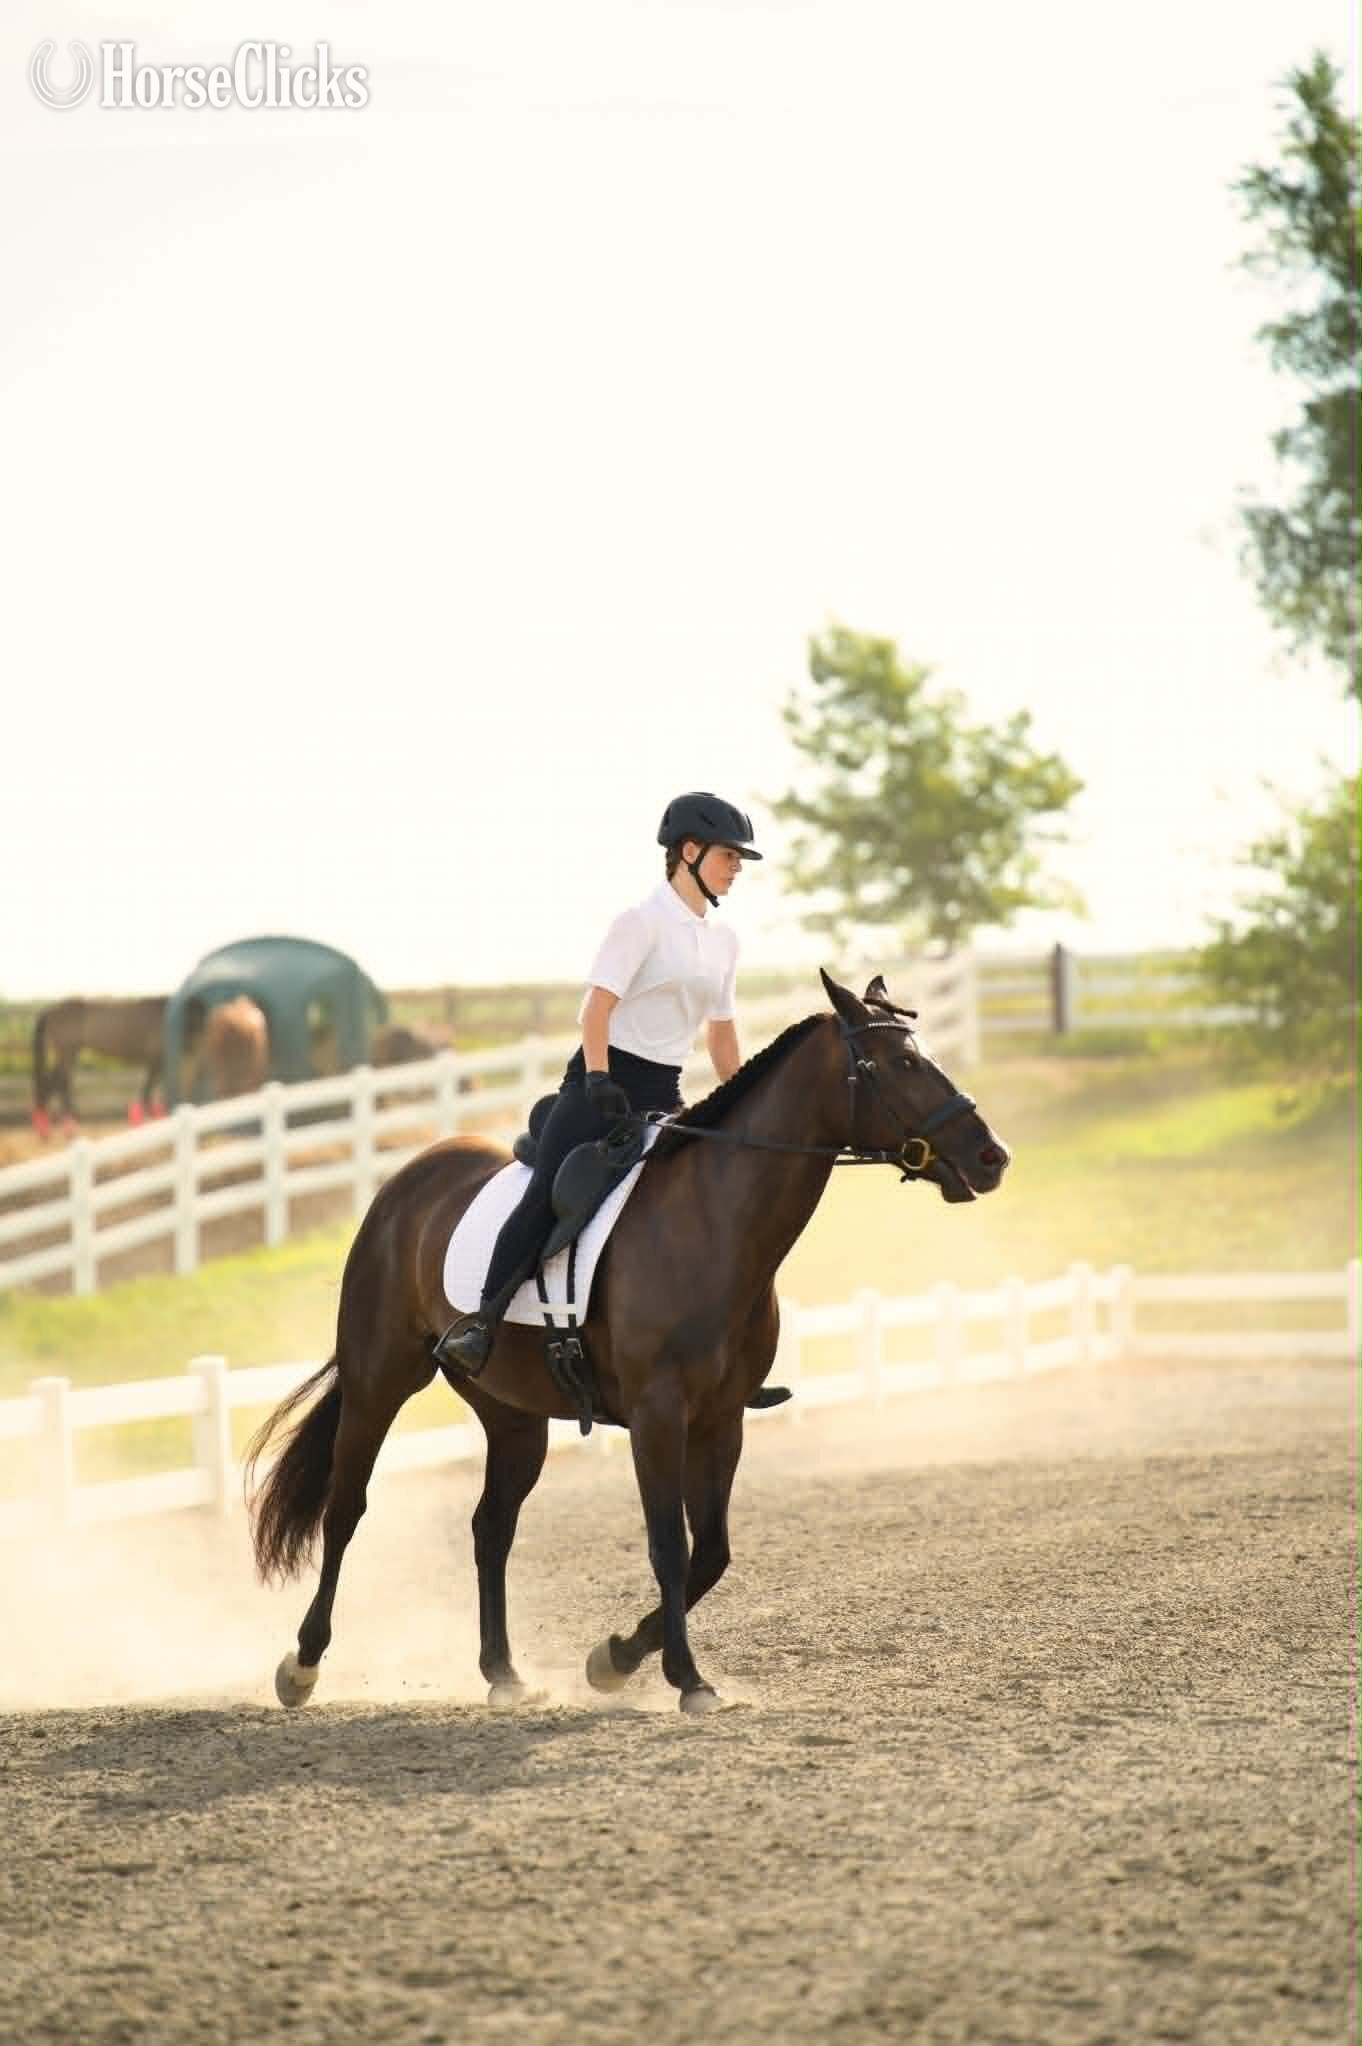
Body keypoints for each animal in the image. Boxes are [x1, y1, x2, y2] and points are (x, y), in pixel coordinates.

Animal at [32, 995, 167, 1134]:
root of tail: (50, 1012)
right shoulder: (156, 1059)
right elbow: (149, 1087)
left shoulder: (157, 1061)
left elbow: (152, 1087)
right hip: (68, 1053)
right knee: (59, 1082)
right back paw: (67, 1126)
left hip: (68, 1055)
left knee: (54, 1082)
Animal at [246, 969, 1010, 1715]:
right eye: (900, 1063)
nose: (990, 1156)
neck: (713, 1221)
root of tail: (405, 1180)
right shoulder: (657, 1415)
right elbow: (669, 1546)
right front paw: (686, 1679)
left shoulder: (720, 1419)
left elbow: (712, 1554)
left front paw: (614, 1659)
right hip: (380, 1381)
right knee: (346, 1509)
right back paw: (303, 1664)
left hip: (514, 1416)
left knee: (491, 1527)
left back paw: (503, 1672)